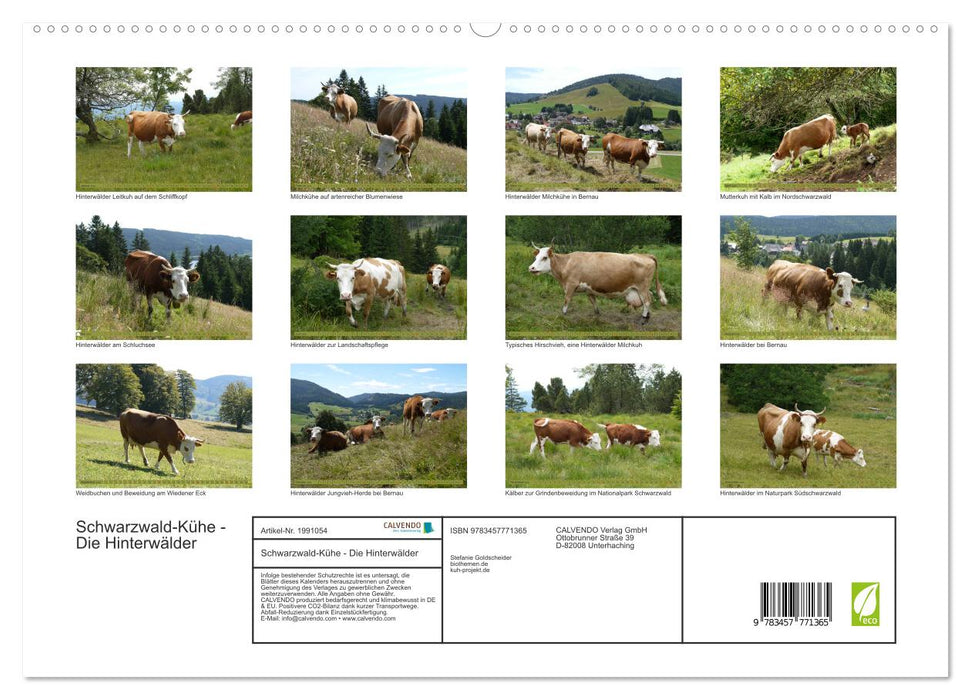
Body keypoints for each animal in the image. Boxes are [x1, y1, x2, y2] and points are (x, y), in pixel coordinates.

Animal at [528, 243, 667, 324]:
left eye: (544, 257)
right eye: (536, 257)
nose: (531, 268)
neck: (567, 263)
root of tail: (646, 255)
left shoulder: (570, 285)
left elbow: (566, 300)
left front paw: (563, 314)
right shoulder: (589, 289)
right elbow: (593, 301)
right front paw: (597, 315)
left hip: (642, 286)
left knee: (647, 301)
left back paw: (643, 319)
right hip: (640, 288)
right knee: (650, 297)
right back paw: (647, 316)